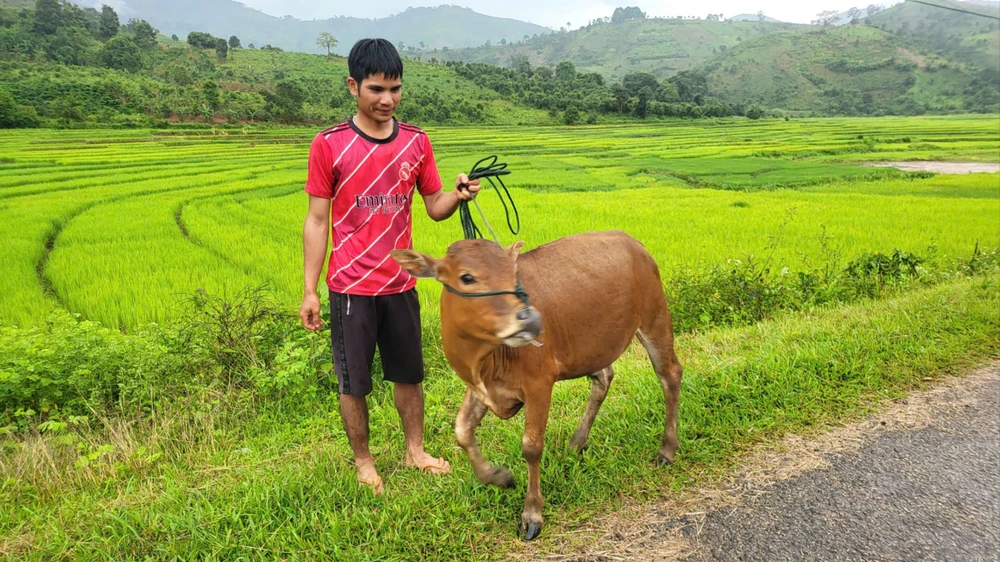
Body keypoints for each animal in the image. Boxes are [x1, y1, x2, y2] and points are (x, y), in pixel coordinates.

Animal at [390, 229, 680, 540]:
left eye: (512, 273)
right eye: (467, 277)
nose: (528, 320)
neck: (486, 360)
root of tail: (631, 240)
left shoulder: (539, 383)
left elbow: (531, 446)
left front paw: (532, 513)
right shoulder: (482, 389)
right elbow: (462, 432)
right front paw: (499, 477)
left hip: (655, 319)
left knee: (670, 376)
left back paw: (667, 450)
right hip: (594, 347)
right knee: (604, 379)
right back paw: (577, 442)